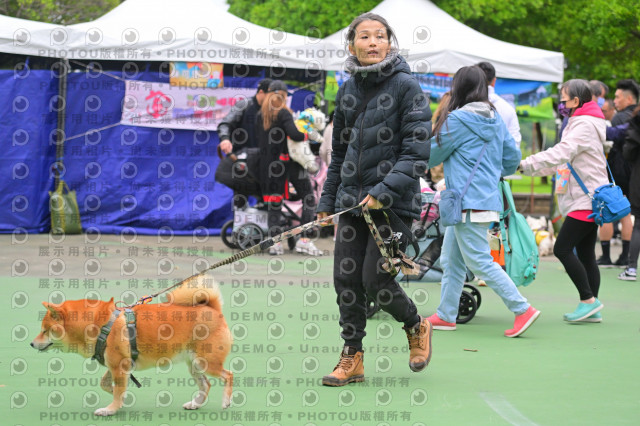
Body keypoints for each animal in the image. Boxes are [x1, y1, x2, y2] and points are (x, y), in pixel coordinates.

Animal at [31, 274, 232, 416]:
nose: (32, 344)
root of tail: (212, 308)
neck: (99, 325)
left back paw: (226, 401)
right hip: (195, 364)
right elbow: (107, 384)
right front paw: (121, 399)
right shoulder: (117, 365)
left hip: (207, 362)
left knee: (228, 375)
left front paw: (110, 409)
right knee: (206, 385)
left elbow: (117, 390)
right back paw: (195, 404)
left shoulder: (119, 366)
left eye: (45, 330)